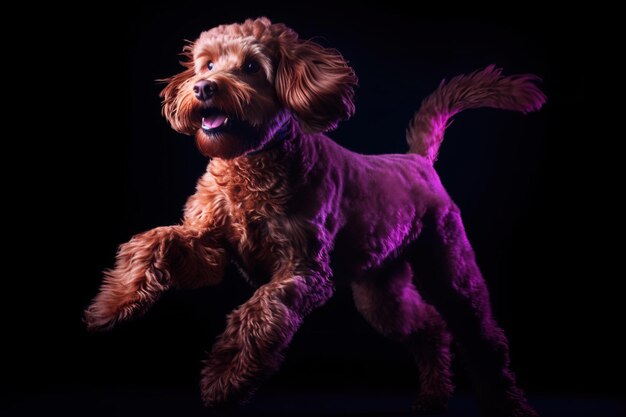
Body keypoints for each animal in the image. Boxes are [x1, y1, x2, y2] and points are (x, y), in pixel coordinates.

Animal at [85, 17, 544, 416]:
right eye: (208, 63)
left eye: (251, 67)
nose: (202, 87)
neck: (249, 166)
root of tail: (418, 161)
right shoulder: (207, 240)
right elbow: (155, 242)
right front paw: (112, 304)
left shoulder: (303, 268)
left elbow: (259, 312)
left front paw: (224, 379)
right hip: (382, 291)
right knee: (428, 326)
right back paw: (433, 397)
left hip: (451, 270)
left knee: (483, 337)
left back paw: (509, 405)